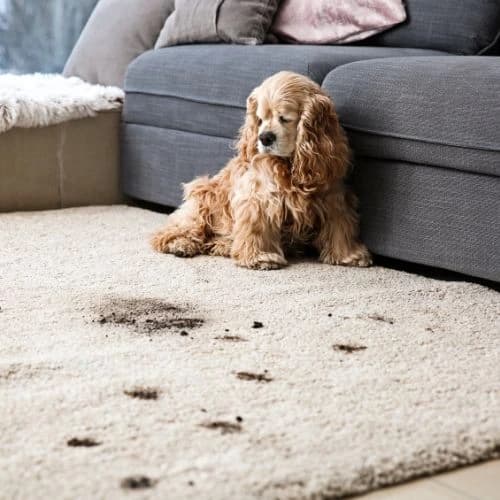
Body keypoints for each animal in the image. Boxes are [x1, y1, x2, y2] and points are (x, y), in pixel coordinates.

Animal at [152, 70, 372, 270]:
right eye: (260, 118)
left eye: (285, 118)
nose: (264, 137)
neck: (290, 165)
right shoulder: (258, 197)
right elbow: (257, 227)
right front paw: (260, 257)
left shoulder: (333, 196)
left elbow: (340, 226)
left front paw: (349, 255)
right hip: (202, 198)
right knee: (174, 230)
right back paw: (180, 244)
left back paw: (223, 245)